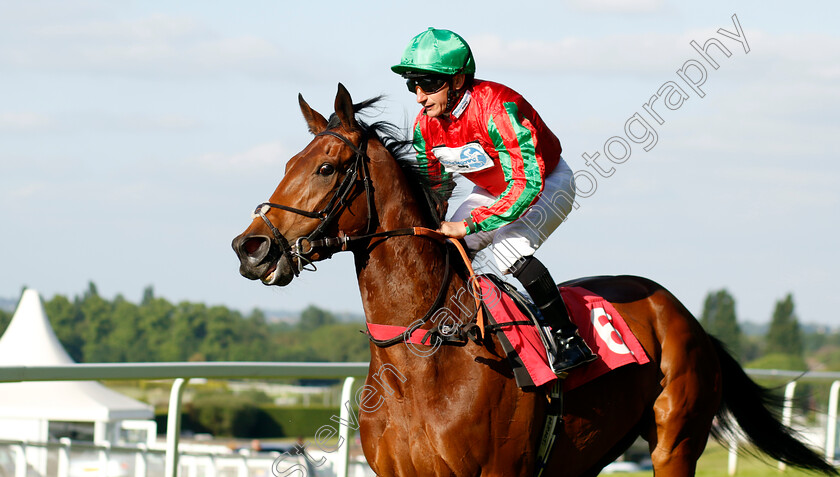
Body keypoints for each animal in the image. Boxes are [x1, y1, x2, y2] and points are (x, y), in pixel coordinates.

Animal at [231, 83, 840, 474]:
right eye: (287, 164)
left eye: (327, 168)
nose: (251, 247)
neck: (425, 353)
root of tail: (687, 317)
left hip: (675, 443)